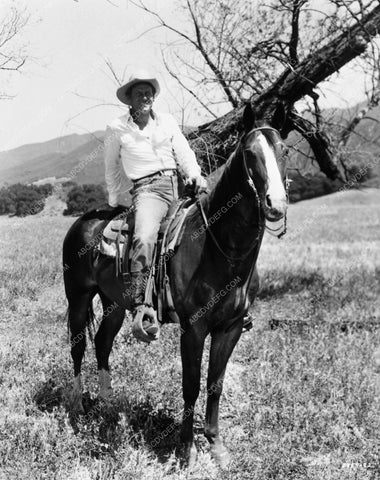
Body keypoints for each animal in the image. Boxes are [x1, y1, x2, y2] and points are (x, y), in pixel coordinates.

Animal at [63, 103, 288, 466]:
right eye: (249, 153)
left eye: (283, 150)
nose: (275, 205)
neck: (219, 249)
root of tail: (82, 222)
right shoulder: (193, 328)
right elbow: (191, 384)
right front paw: (186, 449)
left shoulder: (231, 327)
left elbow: (215, 383)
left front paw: (216, 445)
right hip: (78, 297)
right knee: (77, 346)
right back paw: (78, 406)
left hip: (114, 303)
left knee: (102, 343)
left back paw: (108, 401)